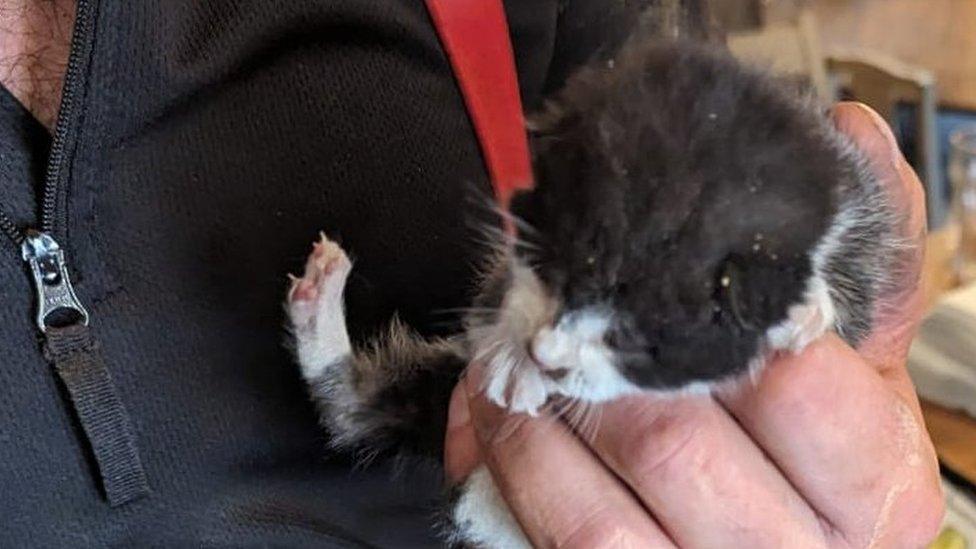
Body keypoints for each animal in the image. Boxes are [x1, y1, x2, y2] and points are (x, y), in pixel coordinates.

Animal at [284, 40, 900, 544]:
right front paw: (515, 357)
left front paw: (804, 309)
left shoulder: (861, 226)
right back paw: (319, 300)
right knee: (349, 409)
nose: (547, 357)